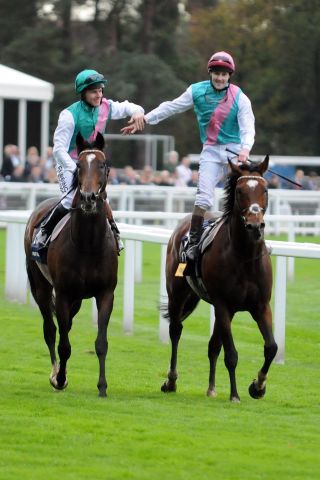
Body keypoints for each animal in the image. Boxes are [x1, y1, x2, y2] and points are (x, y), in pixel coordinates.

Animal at [24, 132, 118, 398]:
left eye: (103, 165)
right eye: (78, 165)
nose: (88, 198)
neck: (88, 244)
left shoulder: (105, 293)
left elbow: (101, 343)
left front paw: (102, 386)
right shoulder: (64, 293)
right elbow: (63, 343)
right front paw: (61, 378)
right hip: (40, 286)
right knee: (50, 328)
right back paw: (55, 372)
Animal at [162, 157, 278, 402]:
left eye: (265, 189)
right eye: (240, 191)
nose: (255, 225)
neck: (244, 256)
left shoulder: (261, 306)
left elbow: (271, 347)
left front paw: (258, 386)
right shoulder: (223, 304)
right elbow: (231, 354)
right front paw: (234, 394)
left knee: (213, 345)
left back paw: (211, 388)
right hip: (177, 295)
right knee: (175, 331)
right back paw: (171, 381)